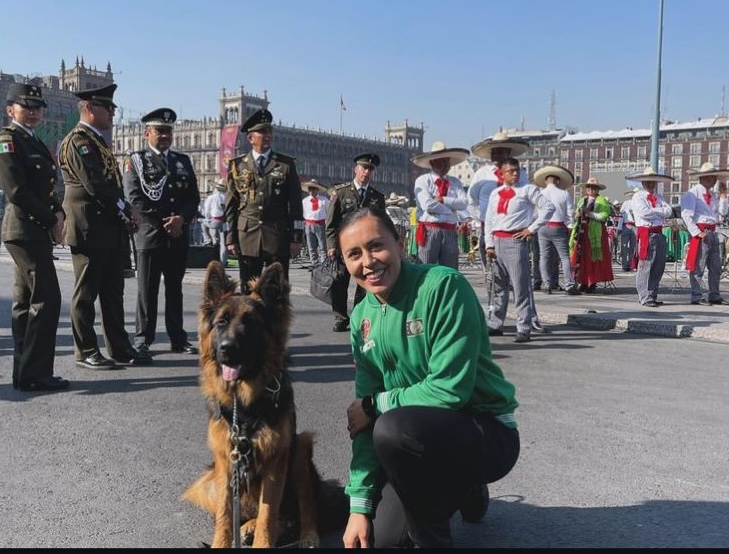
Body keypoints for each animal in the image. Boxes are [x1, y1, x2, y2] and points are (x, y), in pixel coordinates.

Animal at [182, 260, 324, 544]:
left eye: (252, 324)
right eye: (221, 322)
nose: (226, 349)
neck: (244, 405)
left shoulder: (275, 460)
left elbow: (268, 516)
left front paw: (262, 539)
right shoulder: (225, 459)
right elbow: (225, 515)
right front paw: (221, 542)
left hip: (301, 448)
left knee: (303, 506)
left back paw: (307, 535)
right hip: (209, 479)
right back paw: (247, 526)